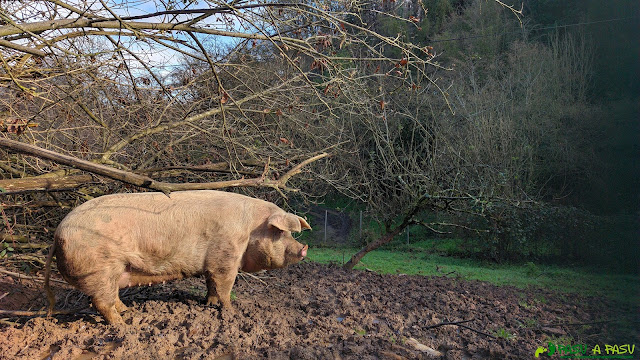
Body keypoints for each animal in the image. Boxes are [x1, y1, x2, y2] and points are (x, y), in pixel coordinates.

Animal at [43, 190, 310, 324]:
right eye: (281, 232)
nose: (304, 249)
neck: (250, 228)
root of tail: (57, 233)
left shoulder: (211, 263)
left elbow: (211, 284)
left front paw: (208, 305)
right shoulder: (227, 257)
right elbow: (225, 286)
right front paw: (231, 312)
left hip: (113, 271)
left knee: (111, 297)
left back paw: (128, 312)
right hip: (100, 269)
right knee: (101, 302)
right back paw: (123, 326)